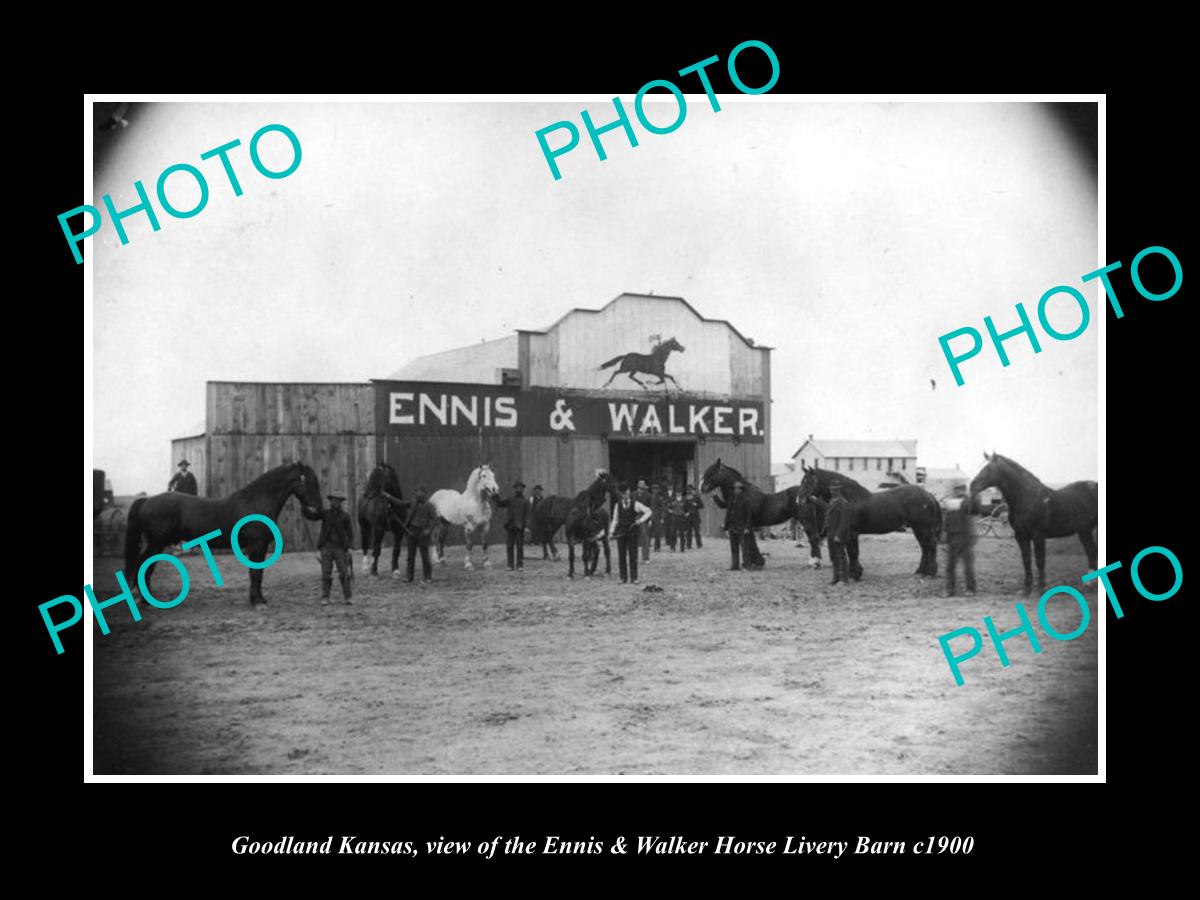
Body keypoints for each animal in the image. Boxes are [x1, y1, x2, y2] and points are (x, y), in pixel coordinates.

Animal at [121, 465, 324, 607]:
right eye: (308, 481)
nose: (316, 510)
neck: (256, 502)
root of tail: (147, 500)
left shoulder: (261, 546)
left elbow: (258, 573)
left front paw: (259, 599)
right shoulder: (256, 545)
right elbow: (255, 573)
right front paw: (257, 601)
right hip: (156, 543)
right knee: (143, 566)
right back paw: (146, 600)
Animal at [796, 460, 945, 580]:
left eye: (809, 482)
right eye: (802, 481)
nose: (799, 500)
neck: (850, 499)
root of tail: (929, 495)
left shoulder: (852, 533)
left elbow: (853, 552)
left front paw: (855, 574)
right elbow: (851, 552)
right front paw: (855, 573)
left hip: (922, 528)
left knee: (930, 546)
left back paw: (930, 572)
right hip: (918, 528)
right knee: (925, 547)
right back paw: (921, 571)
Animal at [969, 453, 1099, 595]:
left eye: (988, 468)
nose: (972, 486)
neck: (1029, 498)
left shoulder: (1038, 536)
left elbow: (1040, 560)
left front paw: (1041, 587)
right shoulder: (1021, 536)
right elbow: (1026, 560)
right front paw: (1027, 588)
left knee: (1092, 551)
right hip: (1084, 531)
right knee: (1091, 551)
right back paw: (1089, 584)